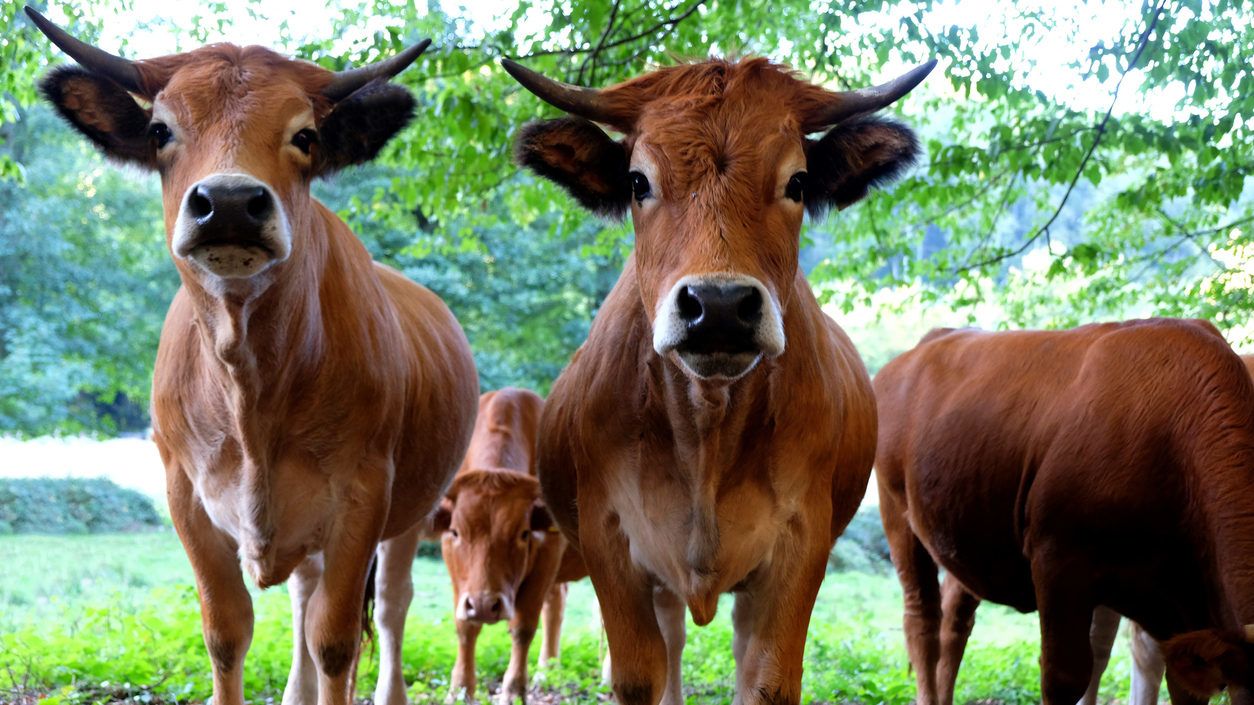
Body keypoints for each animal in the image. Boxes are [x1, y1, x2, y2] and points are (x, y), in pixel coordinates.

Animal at [30, 9, 479, 702]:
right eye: (160, 130)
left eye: (307, 135)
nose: (231, 202)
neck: (250, 387)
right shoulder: (185, 495)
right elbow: (226, 631)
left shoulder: (363, 494)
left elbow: (336, 640)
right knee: (303, 595)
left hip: (416, 508)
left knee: (388, 604)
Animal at [433, 386, 584, 697]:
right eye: (456, 532)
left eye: (522, 533)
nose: (483, 604)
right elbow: (465, 626)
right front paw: (461, 687)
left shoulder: (548, 550)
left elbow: (523, 626)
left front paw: (514, 689)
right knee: (557, 602)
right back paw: (547, 670)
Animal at [499, 56, 932, 702]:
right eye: (638, 182)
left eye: (797, 183)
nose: (720, 305)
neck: (706, 426)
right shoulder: (611, 544)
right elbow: (640, 675)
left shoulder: (798, 548)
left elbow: (767, 678)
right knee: (673, 644)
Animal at [877, 319, 1254, 705]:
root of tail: (933, 338)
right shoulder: (1057, 558)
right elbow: (1064, 675)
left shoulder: (1181, 607)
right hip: (897, 513)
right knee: (922, 621)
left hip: (968, 529)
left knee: (955, 621)